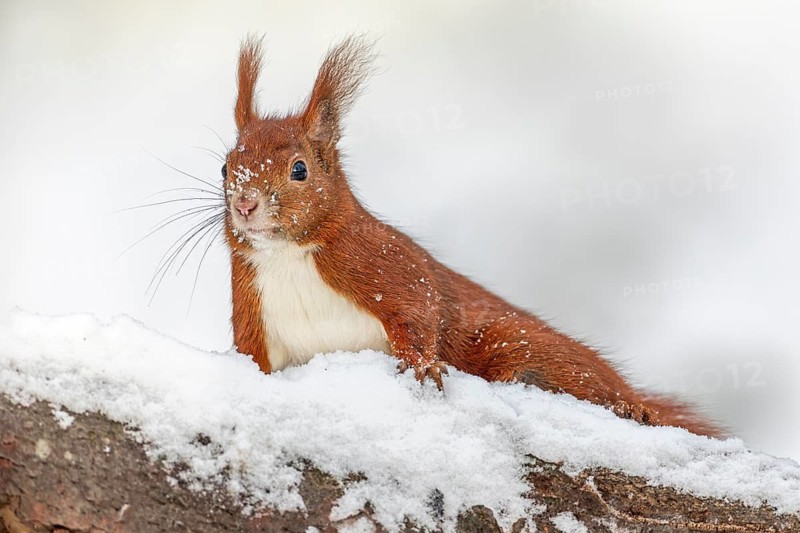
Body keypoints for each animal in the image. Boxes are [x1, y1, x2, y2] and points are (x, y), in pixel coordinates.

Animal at [222, 36, 721, 438]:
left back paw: (627, 408)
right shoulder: (252, 311)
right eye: (226, 167)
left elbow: (420, 309)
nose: (245, 205)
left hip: (516, 341)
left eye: (299, 170)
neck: (286, 255)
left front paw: (422, 365)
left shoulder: (385, 264)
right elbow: (254, 360)